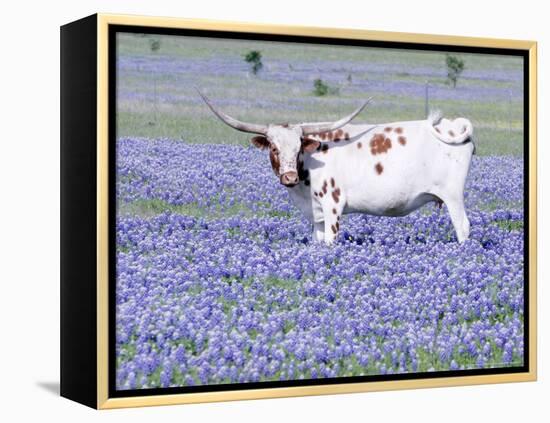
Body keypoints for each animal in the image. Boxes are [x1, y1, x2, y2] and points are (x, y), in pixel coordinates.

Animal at [201, 92, 476, 245]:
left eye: (298, 147)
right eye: (274, 148)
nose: (289, 177)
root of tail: (452, 125)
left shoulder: (332, 206)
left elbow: (332, 241)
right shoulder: (317, 215)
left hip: (453, 196)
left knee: (463, 227)